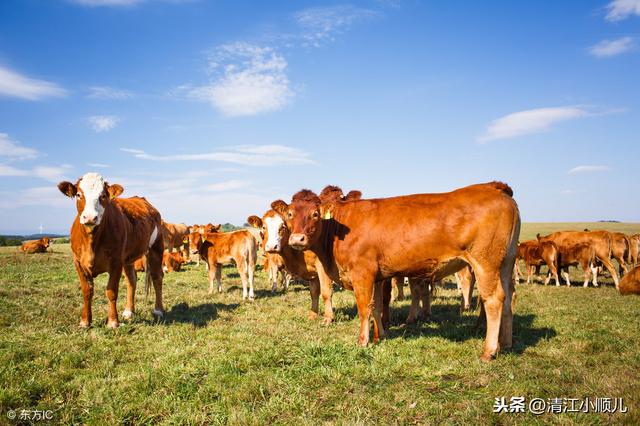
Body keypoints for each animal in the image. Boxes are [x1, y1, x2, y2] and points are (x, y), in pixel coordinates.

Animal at [57, 171, 165, 328]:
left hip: (156, 247)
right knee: (132, 280)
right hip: (128, 258)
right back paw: (129, 311)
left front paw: (113, 321)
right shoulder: (78, 262)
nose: (90, 217)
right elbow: (87, 291)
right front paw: (85, 321)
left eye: (103, 195)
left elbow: (111, 291)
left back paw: (158, 310)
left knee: (157, 277)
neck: (92, 241)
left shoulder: (116, 261)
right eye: (78, 194)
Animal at [276, 181, 520, 362]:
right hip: (506, 263)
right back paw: (506, 344)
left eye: (315, 214)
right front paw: (380, 336)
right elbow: (376, 307)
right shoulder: (376, 277)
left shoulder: (362, 273)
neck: (338, 229)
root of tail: (494, 188)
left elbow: (364, 308)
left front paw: (363, 341)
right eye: (290, 214)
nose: (297, 239)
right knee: (508, 297)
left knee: (493, 300)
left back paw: (489, 351)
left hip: (485, 263)